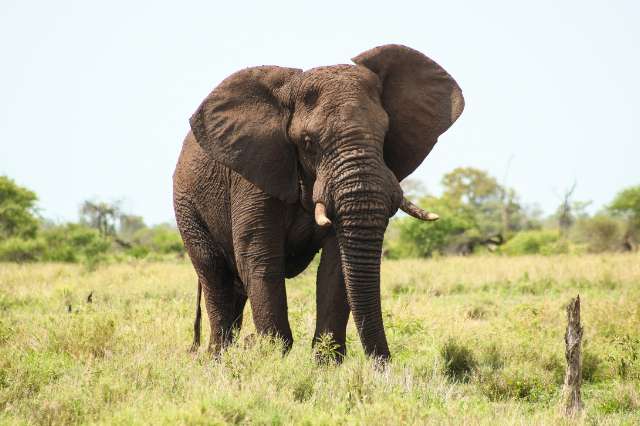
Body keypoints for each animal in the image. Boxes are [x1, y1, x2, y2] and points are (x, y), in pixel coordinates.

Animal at [173, 44, 464, 361]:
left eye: (385, 134)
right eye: (308, 142)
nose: (383, 366)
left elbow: (336, 268)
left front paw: (325, 364)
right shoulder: (253, 174)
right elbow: (260, 257)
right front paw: (275, 360)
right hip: (186, 207)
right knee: (215, 275)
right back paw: (217, 360)